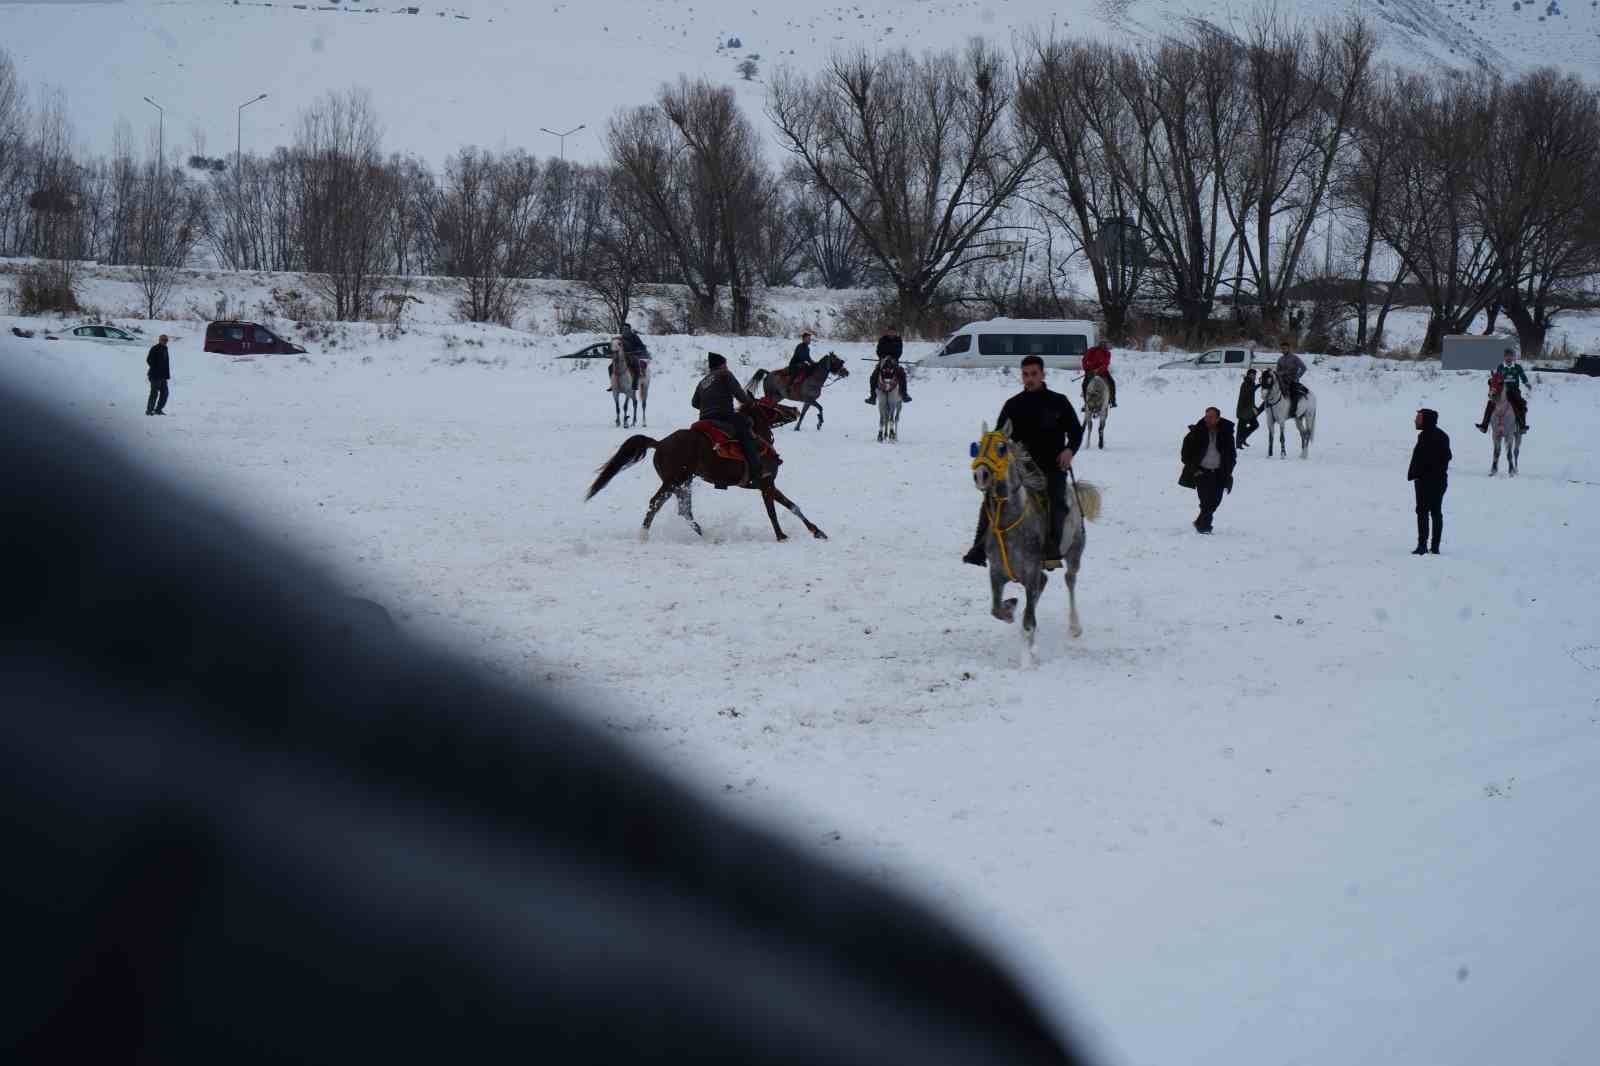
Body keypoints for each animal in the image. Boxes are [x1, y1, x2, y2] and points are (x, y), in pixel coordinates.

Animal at [585, 398, 825, 541]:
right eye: (772, 403)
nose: (795, 409)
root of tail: (660, 443)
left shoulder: (767, 485)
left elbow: (789, 507)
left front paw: (815, 531)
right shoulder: (766, 483)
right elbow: (780, 509)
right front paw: (786, 535)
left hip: (684, 482)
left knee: (684, 510)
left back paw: (704, 534)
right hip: (674, 481)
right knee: (656, 503)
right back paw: (644, 535)